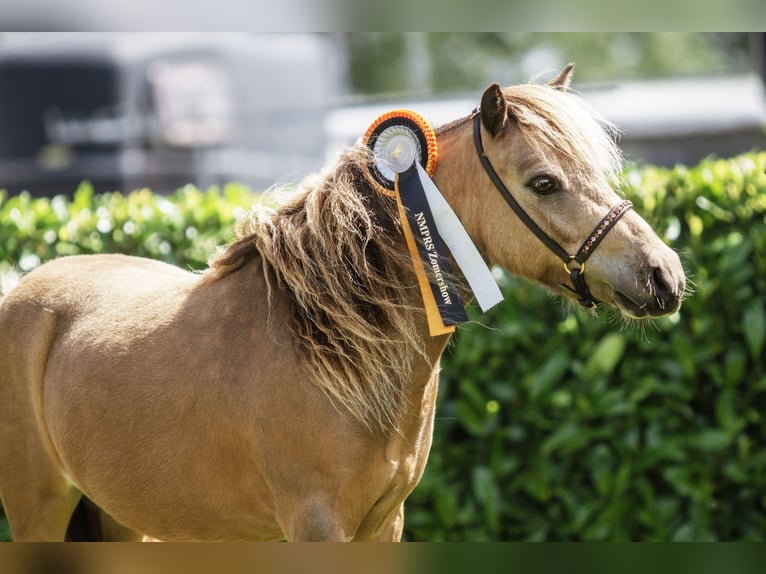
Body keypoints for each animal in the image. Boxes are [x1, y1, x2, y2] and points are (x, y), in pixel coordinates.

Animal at [0, 65, 684, 544]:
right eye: (544, 182)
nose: (664, 275)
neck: (328, 349)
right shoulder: (317, 524)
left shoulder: (384, 524)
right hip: (40, 515)